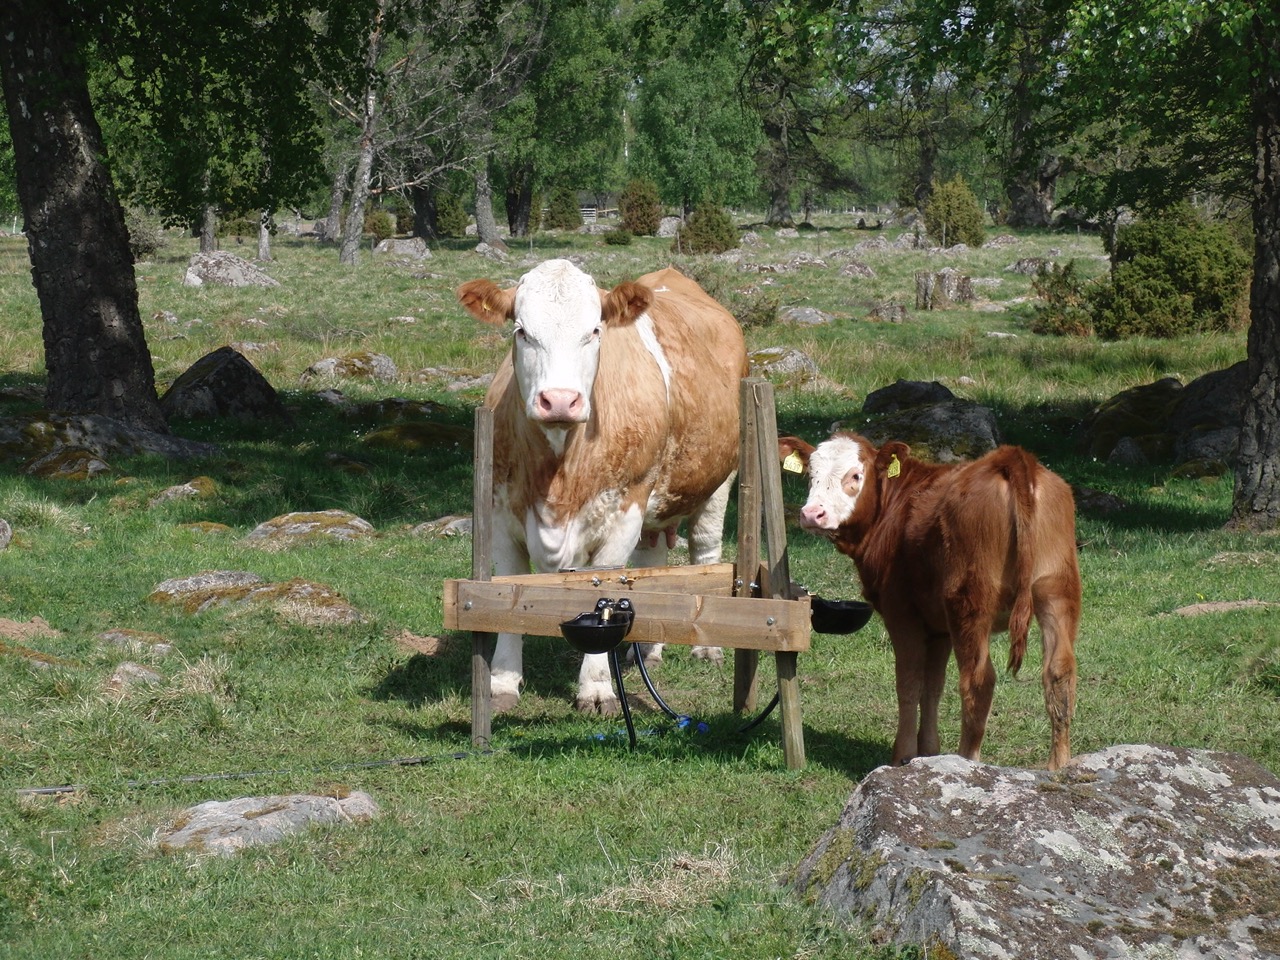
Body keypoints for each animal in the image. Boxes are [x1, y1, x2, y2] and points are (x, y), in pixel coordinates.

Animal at [458, 259, 747, 716]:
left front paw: (596, 688)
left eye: (594, 331)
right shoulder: (500, 513)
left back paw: (708, 649)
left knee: (705, 546)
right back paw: (645, 650)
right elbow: (507, 591)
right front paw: (502, 683)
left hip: (719, 479)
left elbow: (605, 589)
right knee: (651, 561)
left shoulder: (624, 511)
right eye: (521, 331)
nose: (559, 400)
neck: (559, 478)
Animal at [778, 435, 1080, 773]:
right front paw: (929, 753)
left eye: (855, 475)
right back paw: (1058, 768)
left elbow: (909, 683)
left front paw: (903, 755)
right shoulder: (938, 627)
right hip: (1057, 590)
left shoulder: (901, 612)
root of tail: (1011, 459)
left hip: (969, 602)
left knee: (978, 681)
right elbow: (932, 687)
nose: (811, 514)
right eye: (810, 474)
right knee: (1059, 673)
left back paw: (967, 762)